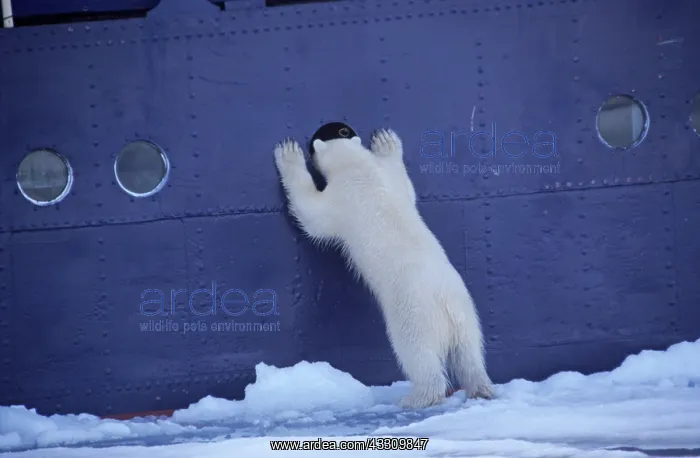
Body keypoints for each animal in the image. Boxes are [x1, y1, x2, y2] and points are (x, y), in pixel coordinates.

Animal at [273, 128, 494, 409]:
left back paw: (416, 398)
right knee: (470, 354)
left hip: (414, 314)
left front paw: (288, 154)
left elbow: (312, 214)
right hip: (467, 313)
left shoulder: (341, 198)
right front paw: (386, 143)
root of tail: (447, 307)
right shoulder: (388, 180)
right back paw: (481, 389)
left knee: (417, 353)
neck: (360, 169)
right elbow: (406, 188)